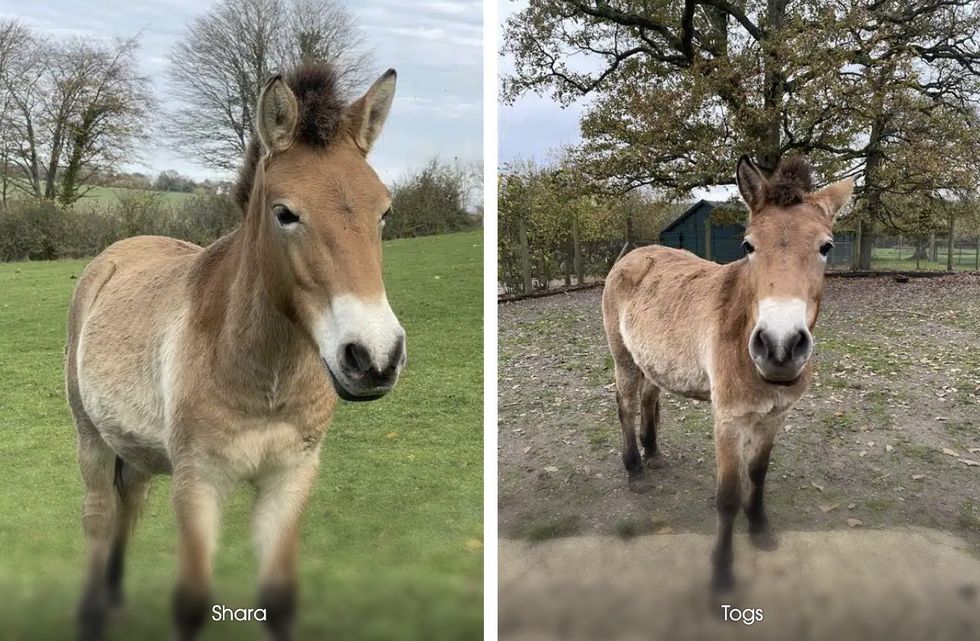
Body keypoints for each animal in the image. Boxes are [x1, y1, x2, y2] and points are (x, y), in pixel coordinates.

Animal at [65, 63, 405, 641]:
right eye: (285, 213)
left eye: (383, 211)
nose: (374, 357)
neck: (263, 376)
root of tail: (115, 253)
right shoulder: (198, 481)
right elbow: (191, 601)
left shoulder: (290, 479)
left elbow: (279, 598)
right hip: (92, 439)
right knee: (98, 516)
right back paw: (91, 611)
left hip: (135, 450)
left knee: (128, 507)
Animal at [601, 155, 853, 592]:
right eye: (747, 245)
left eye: (826, 247)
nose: (780, 346)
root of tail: (630, 256)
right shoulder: (728, 421)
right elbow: (729, 496)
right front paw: (721, 571)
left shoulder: (774, 417)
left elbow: (759, 474)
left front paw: (761, 531)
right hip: (624, 360)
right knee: (626, 406)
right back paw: (635, 470)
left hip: (652, 361)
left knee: (650, 398)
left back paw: (654, 453)